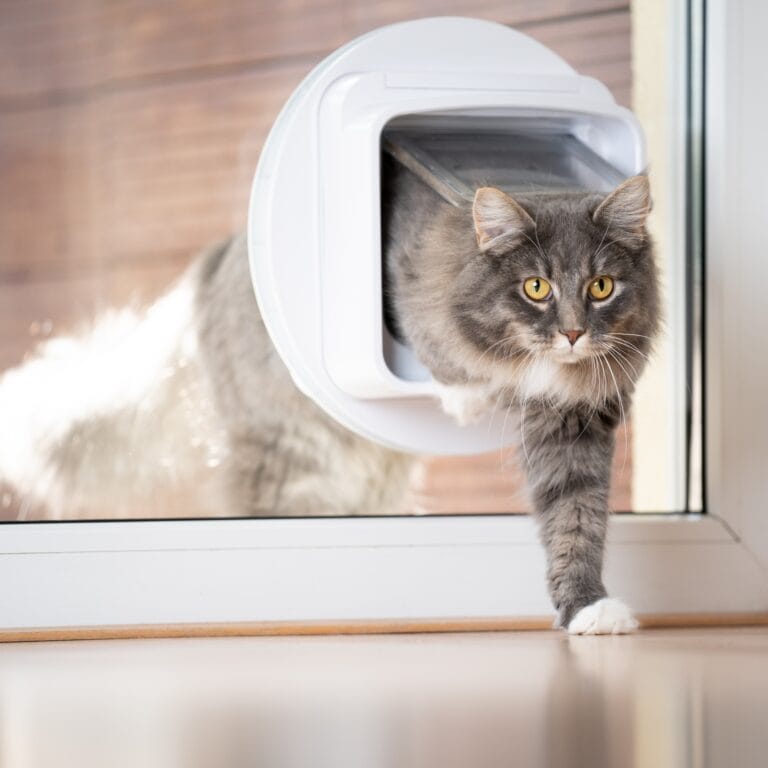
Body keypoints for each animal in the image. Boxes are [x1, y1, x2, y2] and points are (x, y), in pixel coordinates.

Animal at [0, 153, 660, 632]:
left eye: (601, 287)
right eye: (536, 287)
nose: (572, 333)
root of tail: (217, 258)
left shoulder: (574, 425)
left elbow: (575, 522)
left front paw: (589, 610)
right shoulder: (406, 290)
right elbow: (442, 353)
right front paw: (465, 396)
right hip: (292, 467)